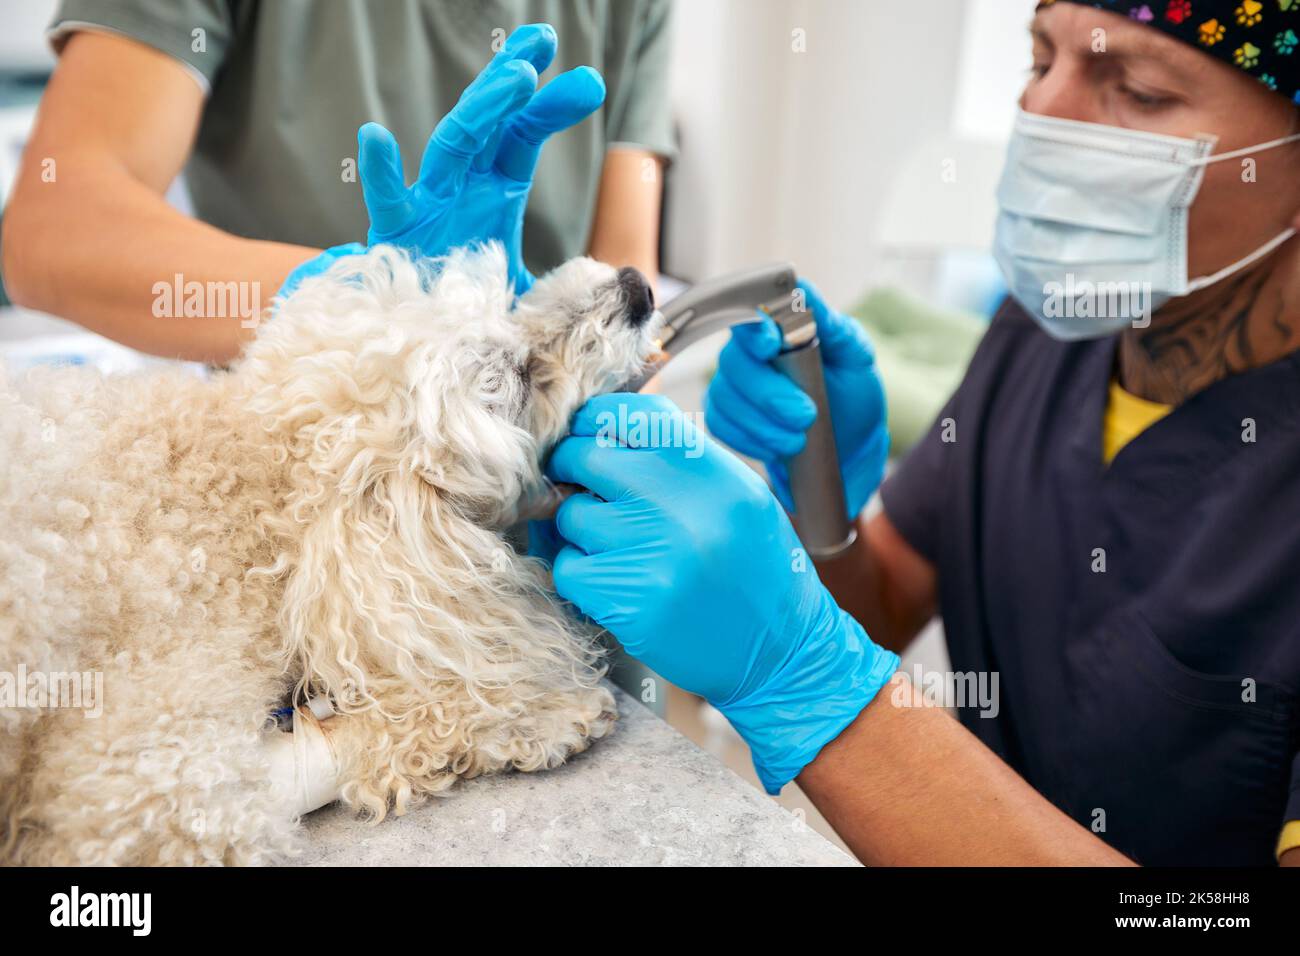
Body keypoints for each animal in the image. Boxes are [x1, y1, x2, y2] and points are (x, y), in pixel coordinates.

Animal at [0, 247, 665, 868]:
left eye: (508, 307)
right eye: (522, 377)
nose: (636, 286)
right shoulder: (137, 780)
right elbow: (382, 733)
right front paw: (543, 716)